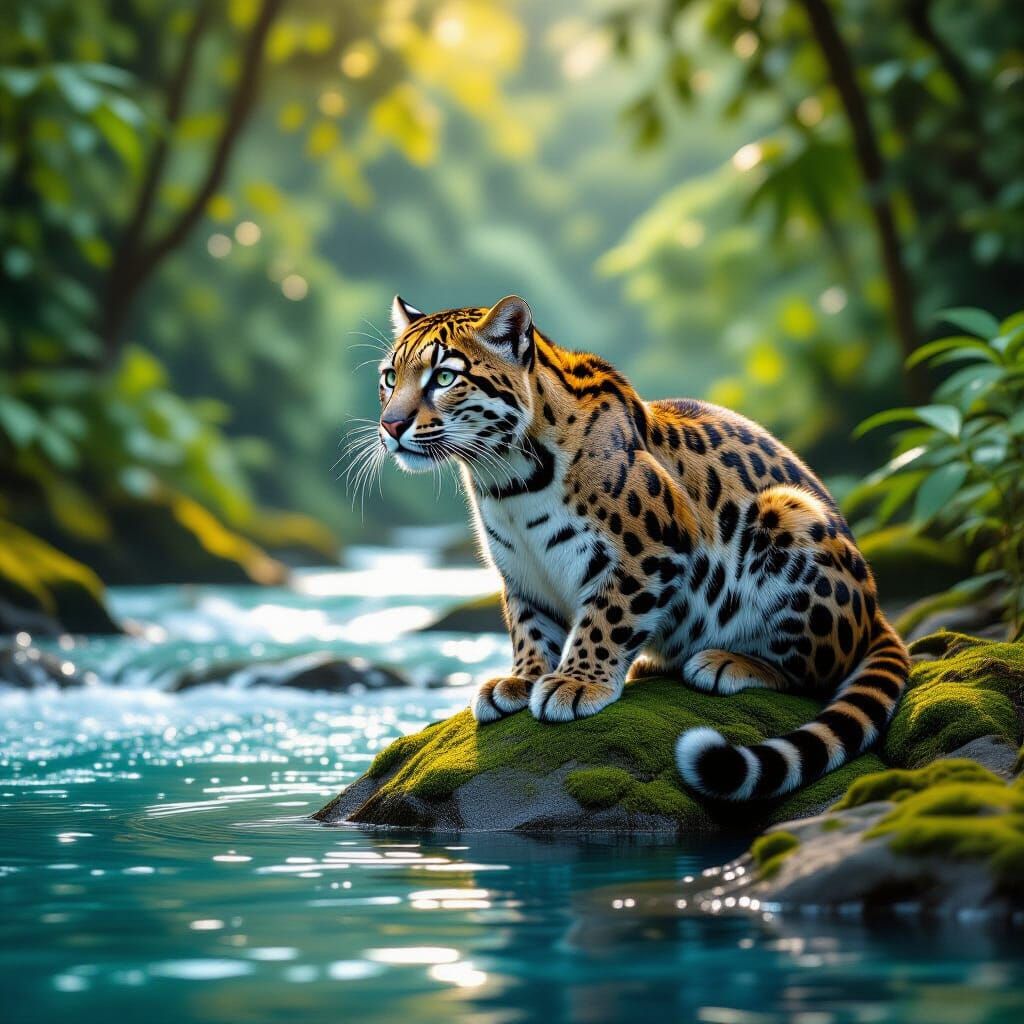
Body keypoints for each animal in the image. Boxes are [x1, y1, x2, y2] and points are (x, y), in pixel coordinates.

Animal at [373, 293, 910, 800]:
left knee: (816, 673)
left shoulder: (651, 549)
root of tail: (877, 610)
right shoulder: (520, 571)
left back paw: (726, 661)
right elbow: (529, 627)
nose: (390, 426)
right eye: (390, 378)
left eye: (444, 377)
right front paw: (523, 678)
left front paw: (576, 683)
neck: (504, 479)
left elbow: (607, 619)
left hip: (788, 514)